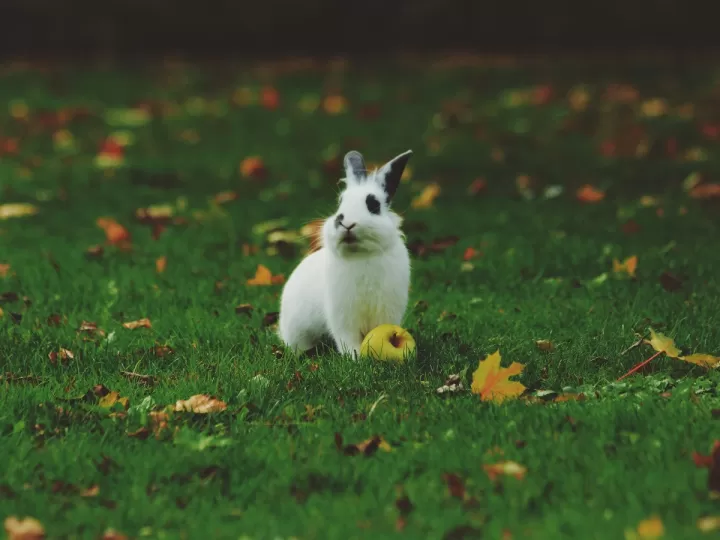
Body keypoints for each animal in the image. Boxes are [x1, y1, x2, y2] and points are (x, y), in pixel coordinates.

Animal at [278, 149, 413, 357]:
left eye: (373, 205)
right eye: (340, 203)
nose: (345, 222)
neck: (362, 254)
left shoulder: (387, 311)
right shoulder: (342, 316)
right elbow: (346, 338)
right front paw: (355, 357)